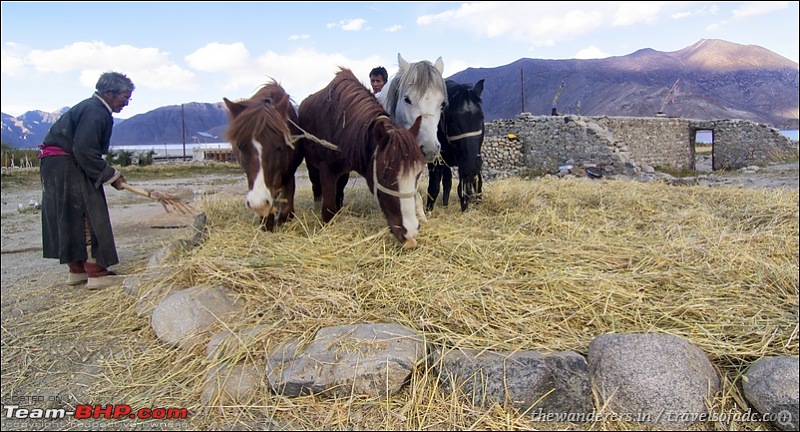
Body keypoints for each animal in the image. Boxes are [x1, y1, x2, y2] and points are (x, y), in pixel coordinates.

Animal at [296, 69, 428, 248]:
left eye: (418, 174)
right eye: (385, 175)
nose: (410, 235)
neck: (341, 121)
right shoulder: (326, 170)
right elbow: (328, 209)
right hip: (311, 163)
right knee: (316, 186)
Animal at [428, 79, 484, 213]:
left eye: (481, 118)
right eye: (451, 121)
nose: (472, 165)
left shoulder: (465, 165)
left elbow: (465, 189)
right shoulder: (437, 160)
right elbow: (434, 187)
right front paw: (428, 211)